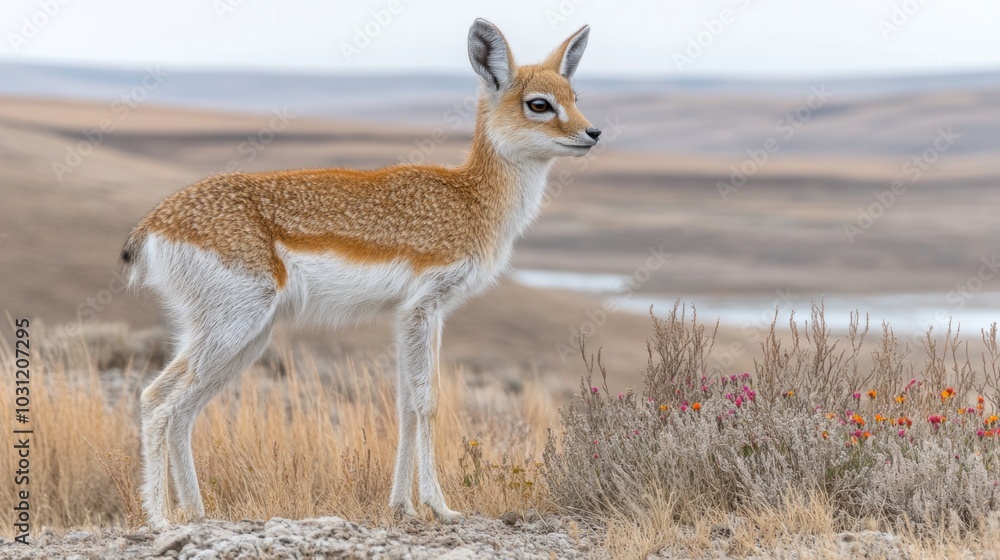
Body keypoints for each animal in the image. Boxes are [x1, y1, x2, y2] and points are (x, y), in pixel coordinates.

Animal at [122, 18, 600, 528]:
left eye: (574, 95)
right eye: (539, 104)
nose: (593, 132)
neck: (472, 199)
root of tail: (155, 222)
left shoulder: (415, 316)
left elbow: (407, 405)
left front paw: (403, 506)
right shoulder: (421, 310)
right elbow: (429, 403)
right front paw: (440, 506)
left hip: (242, 340)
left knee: (184, 410)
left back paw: (197, 514)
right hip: (233, 330)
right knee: (156, 399)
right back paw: (161, 519)